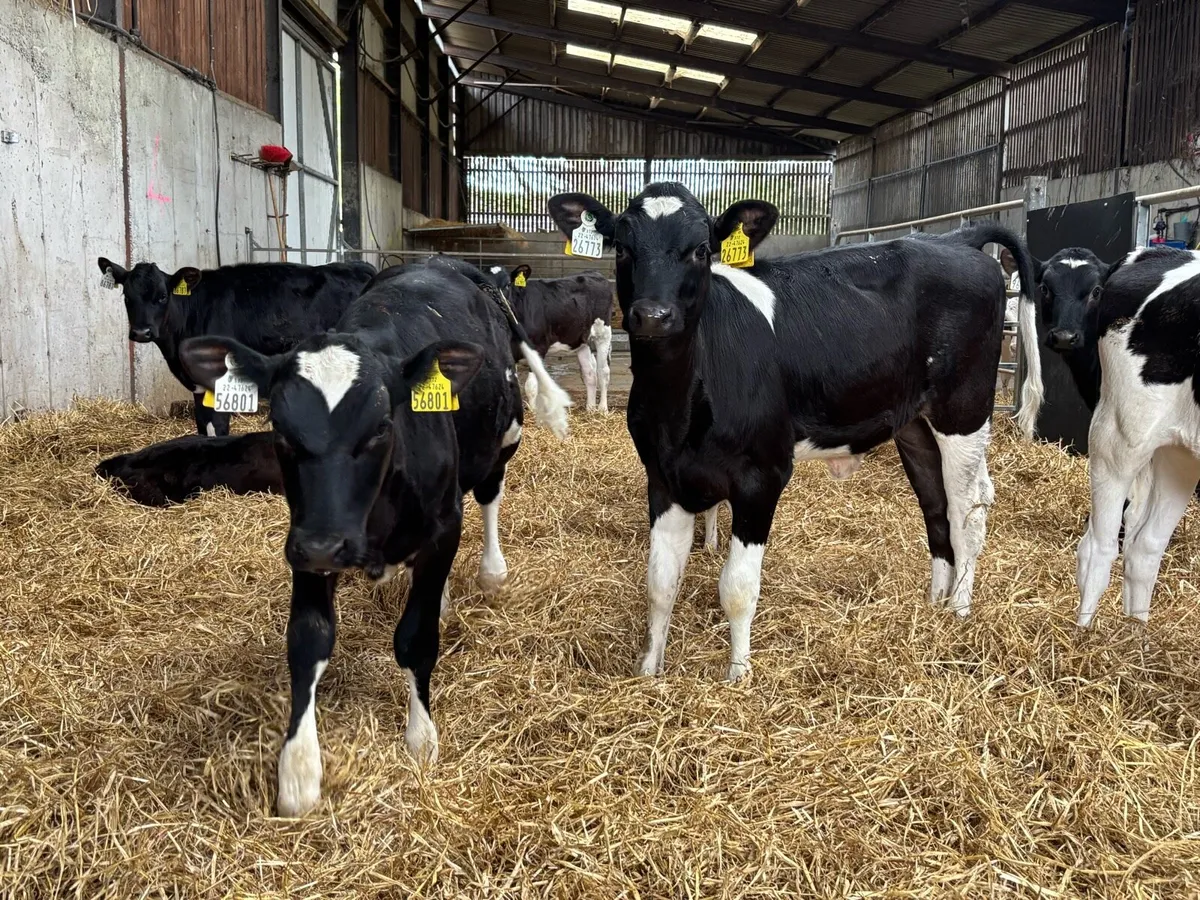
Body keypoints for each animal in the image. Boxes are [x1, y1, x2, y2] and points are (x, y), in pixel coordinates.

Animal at [97, 258, 376, 437]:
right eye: (127, 297)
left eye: (162, 296)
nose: (141, 332)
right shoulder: (197, 386)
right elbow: (203, 426)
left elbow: (219, 428)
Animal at [178, 258, 570, 816]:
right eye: (281, 429)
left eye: (381, 426)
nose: (326, 545)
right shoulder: (305, 536)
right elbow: (308, 640)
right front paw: (298, 771)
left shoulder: (442, 529)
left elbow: (415, 638)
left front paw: (421, 738)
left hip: (504, 439)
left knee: (490, 495)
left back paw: (492, 572)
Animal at [484, 265, 615, 414]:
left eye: (507, 285)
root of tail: (594, 273)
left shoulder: (538, 347)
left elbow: (531, 386)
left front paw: (534, 412)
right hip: (582, 341)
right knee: (589, 373)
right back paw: (590, 408)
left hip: (603, 333)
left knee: (603, 371)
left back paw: (602, 409)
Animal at [548, 183, 1043, 681]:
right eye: (623, 247)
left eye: (702, 249)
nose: (653, 315)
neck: (681, 405)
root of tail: (955, 239)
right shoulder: (663, 476)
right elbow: (660, 581)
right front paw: (650, 671)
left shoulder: (762, 475)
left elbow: (738, 587)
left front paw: (738, 676)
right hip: (914, 425)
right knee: (935, 505)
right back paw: (934, 604)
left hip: (962, 413)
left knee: (968, 513)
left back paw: (959, 611)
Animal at [1072, 247, 1200, 628]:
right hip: (1120, 434)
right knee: (1097, 548)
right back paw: (1085, 637)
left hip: (1179, 451)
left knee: (1145, 547)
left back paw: (1137, 634)